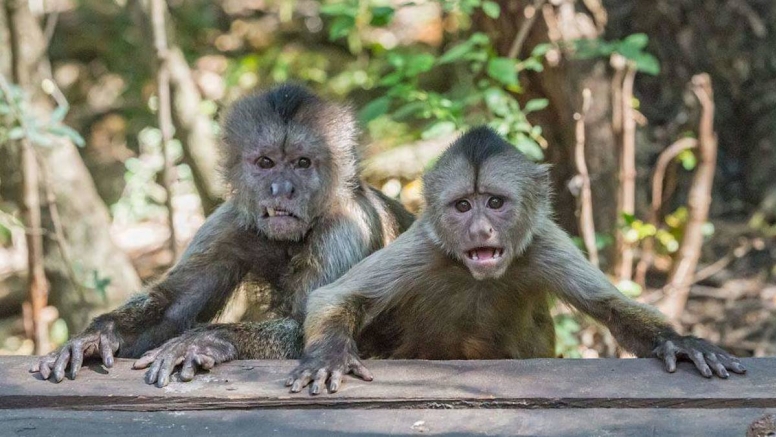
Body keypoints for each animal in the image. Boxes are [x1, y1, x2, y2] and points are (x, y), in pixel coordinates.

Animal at [288, 127, 748, 396]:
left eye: (494, 203)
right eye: (462, 206)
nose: (479, 231)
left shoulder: (544, 243)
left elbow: (614, 309)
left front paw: (681, 342)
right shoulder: (424, 244)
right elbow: (336, 297)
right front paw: (328, 356)